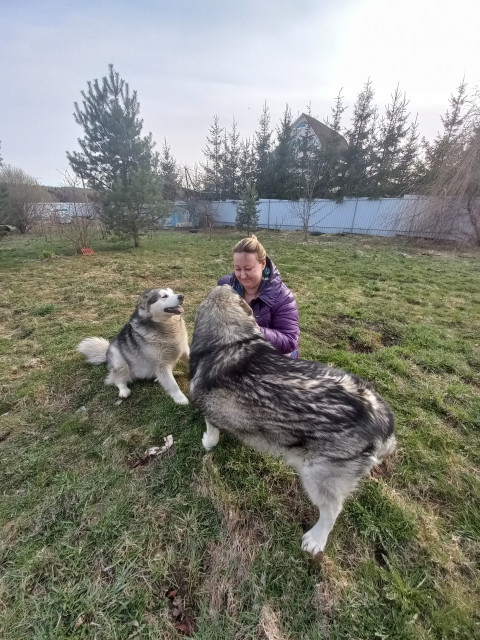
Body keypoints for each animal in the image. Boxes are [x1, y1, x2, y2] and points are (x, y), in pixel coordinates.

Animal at [189, 284, 396, 556]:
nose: (229, 282)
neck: (230, 341)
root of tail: (382, 416)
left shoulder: (208, 410)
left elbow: (211, 432)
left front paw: (207, 442)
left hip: (317, 478)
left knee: (332, 511)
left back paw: (316, 540)